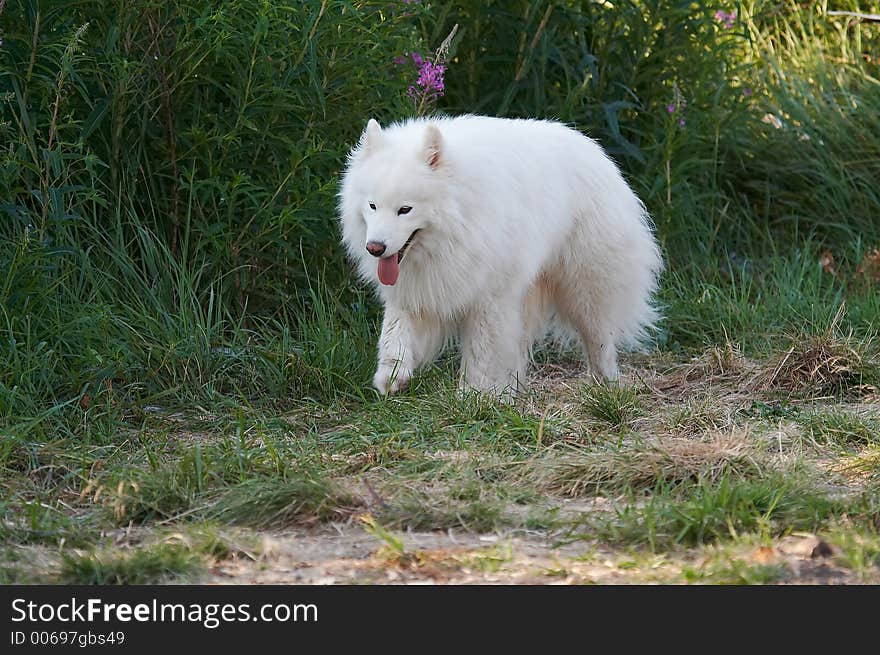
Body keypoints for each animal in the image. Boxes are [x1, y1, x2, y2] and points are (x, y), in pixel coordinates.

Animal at [336, 115, 660, 398]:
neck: (460, 218)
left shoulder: (489, 299)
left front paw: (474, 396)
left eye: (405, 209)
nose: (375, 247)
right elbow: (394, 334)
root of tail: (597, 151)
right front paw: (392, 376)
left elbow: (482, 353)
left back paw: (606, 386)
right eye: (373, 206)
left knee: (600, 342)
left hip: (585, 291)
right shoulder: (416, 292)